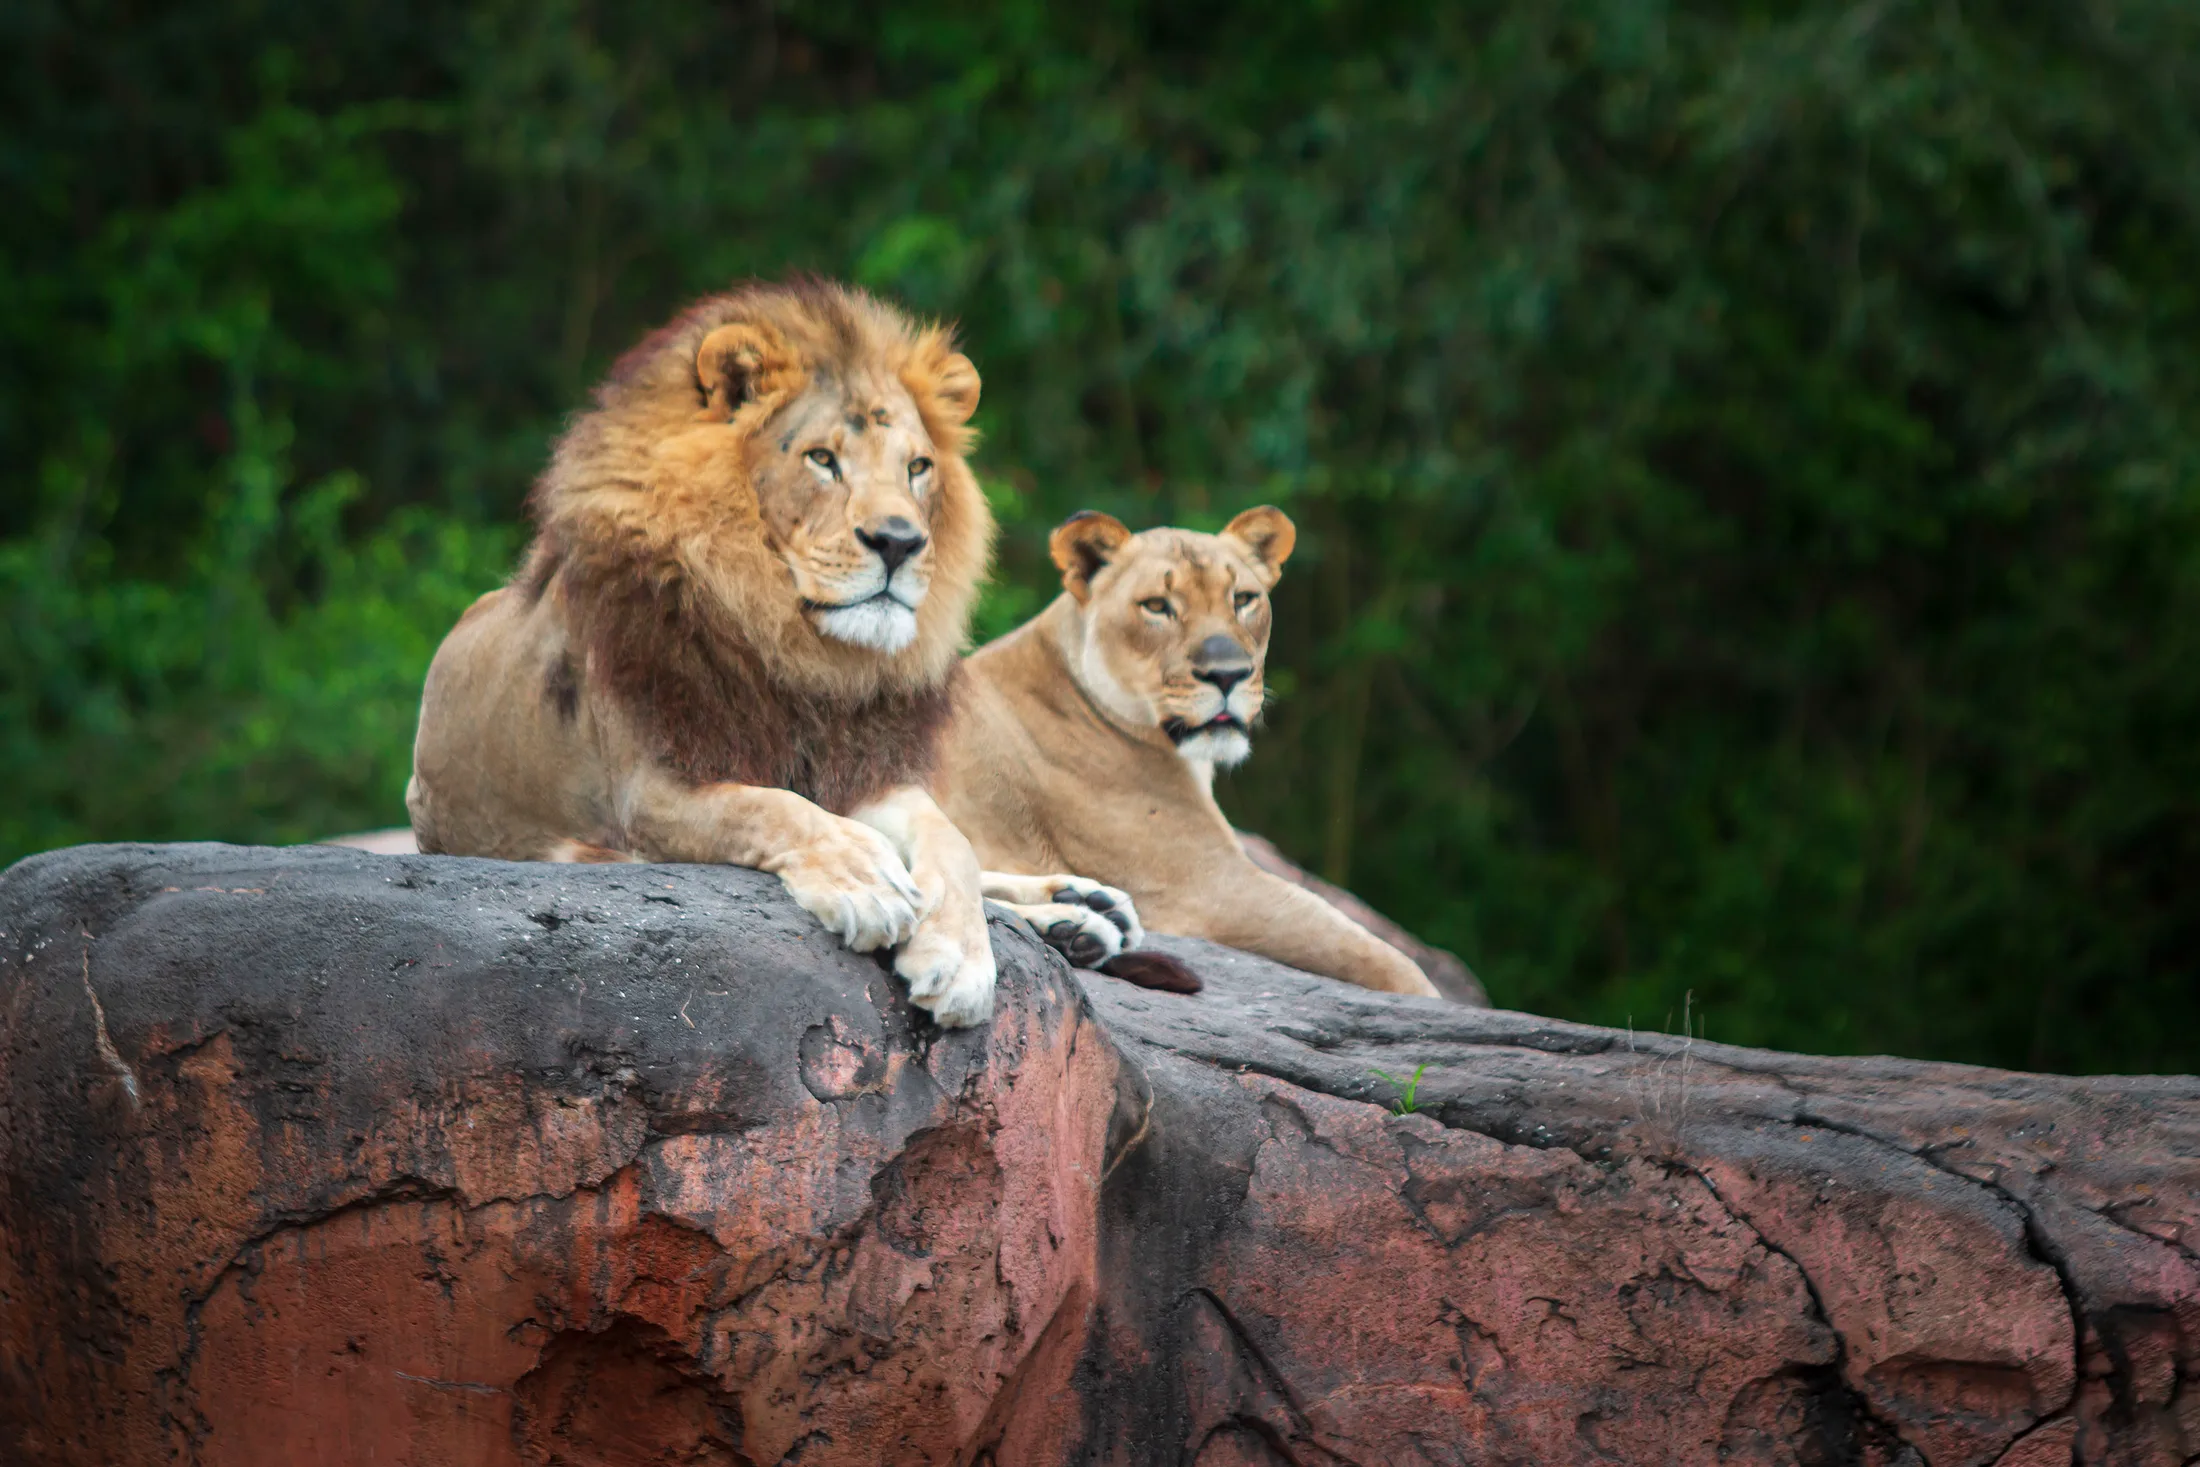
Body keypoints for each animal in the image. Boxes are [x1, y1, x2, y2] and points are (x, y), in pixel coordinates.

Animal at [406, 279, 1141, 1026]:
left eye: (917, 467)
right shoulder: (650, 788)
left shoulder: (862, 768)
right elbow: (770, 806)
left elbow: (950, 839)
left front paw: (960, 955)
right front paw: (865, 880)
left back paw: (1080, 910)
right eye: (822, 459)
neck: (798, 651)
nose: (900, 542)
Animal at [934, 506, 1443, 998]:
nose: (1227, 674)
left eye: (1243, 599)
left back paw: (1086, 907)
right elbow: (1389, 963)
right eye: (1157, 606)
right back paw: (1073, 924)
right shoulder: (1207, 886)